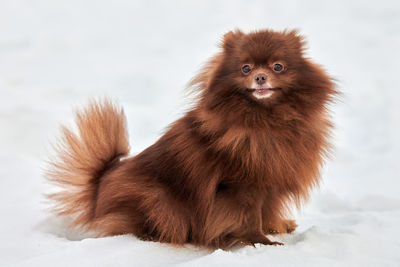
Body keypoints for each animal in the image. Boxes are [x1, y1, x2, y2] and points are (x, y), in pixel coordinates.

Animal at [48, 30, 338, 250]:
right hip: (159, 199)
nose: (260, 76)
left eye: (278, 66)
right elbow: (250, 217)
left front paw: (277, 227)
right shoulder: (242, 186)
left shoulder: (271, 179)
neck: (266, 121)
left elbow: (268, 209)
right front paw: (261, 242)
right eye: (245, 68)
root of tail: (100, 183)